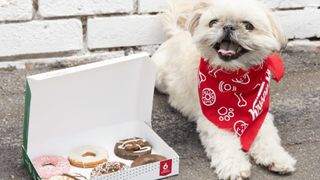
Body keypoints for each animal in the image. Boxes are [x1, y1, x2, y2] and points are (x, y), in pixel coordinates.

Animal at [152, 0, 298, 179]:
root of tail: (176, 34)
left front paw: (276, 158)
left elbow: (267, 138)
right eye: (213, 22)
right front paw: (234, 167)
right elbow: (225, 145)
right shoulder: (215, 120)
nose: (228, 27)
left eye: (248, 26)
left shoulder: (259, 114)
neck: (235, 78)